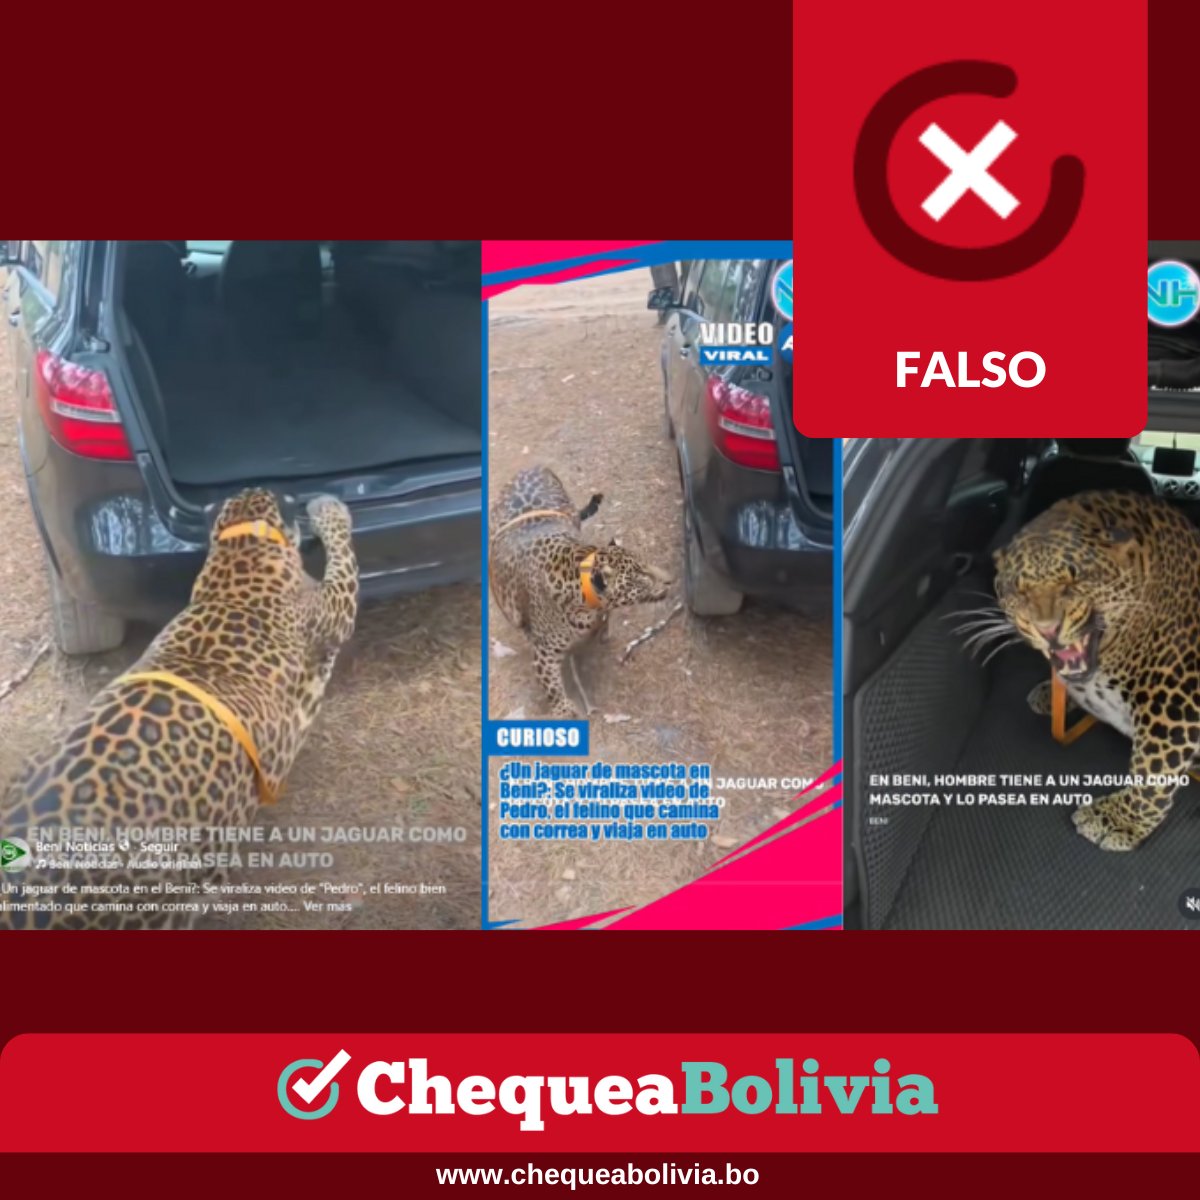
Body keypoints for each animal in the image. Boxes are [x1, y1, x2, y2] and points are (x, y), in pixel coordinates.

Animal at [489, 466, 672, 718]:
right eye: (642, 575)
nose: (671, 581)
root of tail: (532, 467)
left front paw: (602, 634)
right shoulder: (544, 653)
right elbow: (552, 687)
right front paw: (564, 710)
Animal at [991, 489, 1200, 851]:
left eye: (1075, 581)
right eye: (1020, 590)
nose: (1047, 629)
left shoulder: (1177, 697)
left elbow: (1152, 770)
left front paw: (1119, 821)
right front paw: (1051, 694)